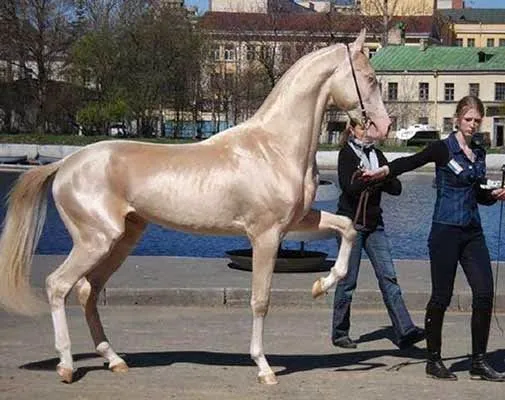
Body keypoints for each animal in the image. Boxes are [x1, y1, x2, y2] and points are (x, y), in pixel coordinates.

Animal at [0, 28, 390, 384]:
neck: (274, 147)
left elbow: (348, 228)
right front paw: (264, 368)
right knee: (58, 285)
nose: (384, 127)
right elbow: (260, 299)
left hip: (120, 241)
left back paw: (115, 360)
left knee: (88, 291)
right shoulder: (266, 235)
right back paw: (66, 366)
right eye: (371, 79)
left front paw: (321, 285)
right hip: (95, 241)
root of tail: (65, 164)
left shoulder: (297, 221)